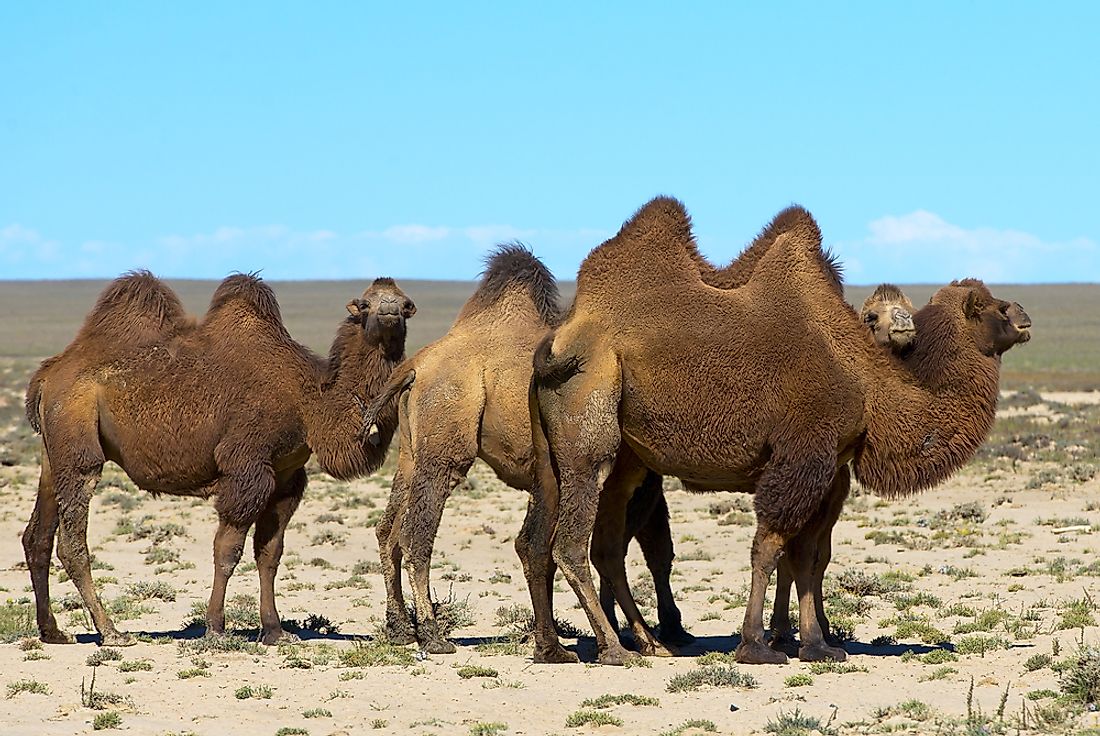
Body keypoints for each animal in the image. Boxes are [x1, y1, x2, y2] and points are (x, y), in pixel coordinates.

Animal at [23, 269, 413, 642]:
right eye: (365, 303)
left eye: (407, 303)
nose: (390, 309)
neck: (308, 401)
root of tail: (49, 373)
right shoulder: (246, 467)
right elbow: (227, 551)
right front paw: (215, 627)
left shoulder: (286, 478)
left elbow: (269, 554)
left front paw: (275, 631)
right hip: (78, 442)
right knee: (71, 540)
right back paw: (112, 632)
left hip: (52, 452)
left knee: (37, 536)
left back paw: (53, 632)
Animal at [523, 198, 1029, 664]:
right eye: (990, 306)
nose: (1024, 315)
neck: (866, 381)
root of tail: (559, 339)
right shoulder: (802, 455)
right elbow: (768, 549)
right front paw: (757, 645)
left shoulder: (825, 468)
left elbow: (805, 557)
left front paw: (816, 644)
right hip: (588, 426)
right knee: (570, 543)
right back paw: (614, 648)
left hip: (595, 459)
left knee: (584, 544)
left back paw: (626, 643)